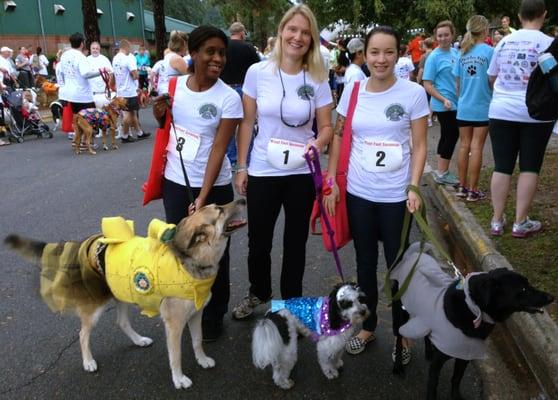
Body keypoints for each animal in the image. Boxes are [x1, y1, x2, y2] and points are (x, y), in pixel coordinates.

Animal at [4, 200, 248, 390]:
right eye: (219, 209)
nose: (243, 199)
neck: (191, 260)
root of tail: (83, 244)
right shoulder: (174, 324)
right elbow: (176, 356)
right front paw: (179, 379)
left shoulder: (195, 314)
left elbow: (197, 341)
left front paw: (202, 360)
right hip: (96, 306)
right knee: (83, 334)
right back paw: (88, 362)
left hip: (121, 293)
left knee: (121, 322)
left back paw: (139, 341)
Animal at [392, 242, 556, 400]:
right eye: (522, 289)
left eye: (529, 284)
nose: (551, 297)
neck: (472, 307)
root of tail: (412, 255)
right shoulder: (439, 361)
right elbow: (433, 383)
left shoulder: (465, 354)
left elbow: (457, 378)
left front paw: (456, 396)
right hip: (400, 313)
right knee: (399, 338)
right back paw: (398, 366)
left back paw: (428, 350)